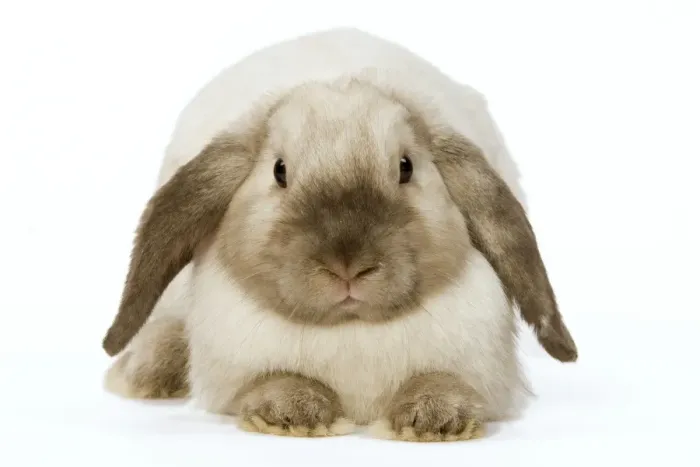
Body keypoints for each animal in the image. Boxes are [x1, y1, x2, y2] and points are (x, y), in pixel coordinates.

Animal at [101, 28, 577, 442]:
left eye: (405, 167)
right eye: (279, 171)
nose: (347, 266)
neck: (352, 332)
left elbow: (442, 379)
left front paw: (435, 419)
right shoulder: (236, 371)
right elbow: (272, 380)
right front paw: (292, 412)